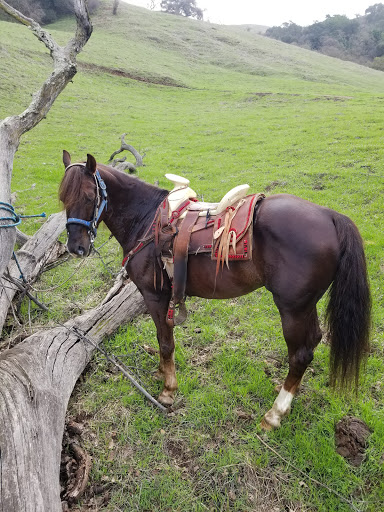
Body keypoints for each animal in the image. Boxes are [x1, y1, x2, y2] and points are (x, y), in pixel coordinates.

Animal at [60, 151, 372, 428]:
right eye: (63, 199)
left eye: (89, 197)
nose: (76, 248)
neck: (146, 219)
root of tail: (330, 216)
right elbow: (162, 340)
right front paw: (161, 373)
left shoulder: (155, 296)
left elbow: (165, 341)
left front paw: (168, 390)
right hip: (305, 307)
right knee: (314, 341)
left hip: (293, 309)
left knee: (301, 354)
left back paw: (274, 414)